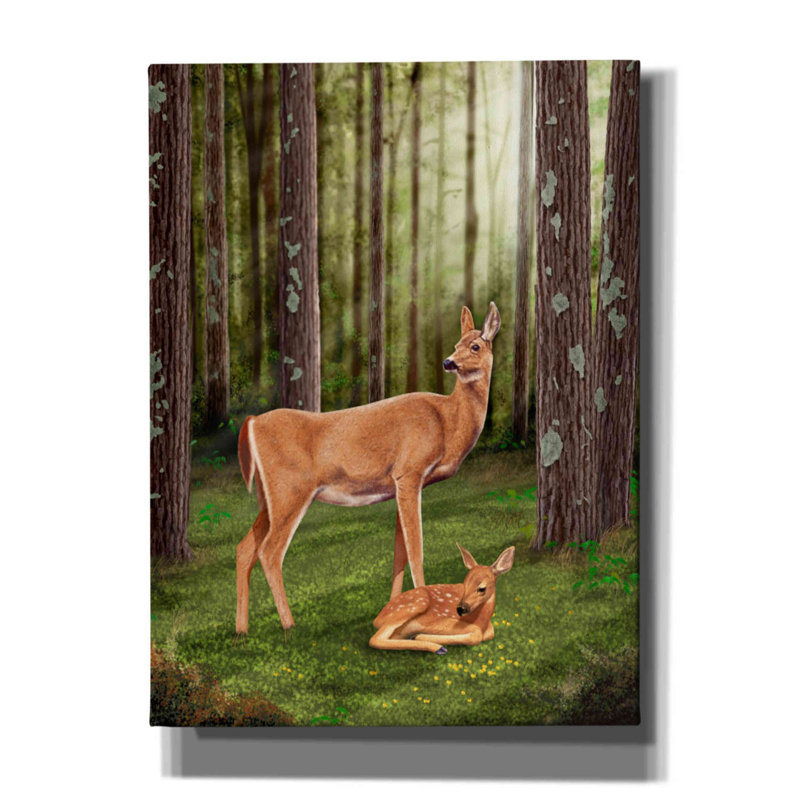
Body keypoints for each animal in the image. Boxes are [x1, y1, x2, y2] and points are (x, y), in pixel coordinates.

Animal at [235, 302, 501, 634]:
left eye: (474, 345)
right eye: (456, 344)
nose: (448, 362)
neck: (448, 422)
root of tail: (253, 422)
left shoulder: (401, 483)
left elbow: (399, 551)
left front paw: (397, 606)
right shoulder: (410, 472)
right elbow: (415, 548)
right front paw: (426, 606)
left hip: (268, 496)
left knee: (244, 548)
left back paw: (241, 629)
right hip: (290, 490)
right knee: (269, 552)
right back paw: (289, 624)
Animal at [369, 544, 515, 654]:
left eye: (482, 588)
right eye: (464, 583)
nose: (461, 608)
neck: (481, 621)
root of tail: (377, 619)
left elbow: (486, 632)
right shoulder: (435, 620)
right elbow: (476, 633)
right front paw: (419, 636)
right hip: (416, 603)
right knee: (374, 639)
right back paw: (437, 647)